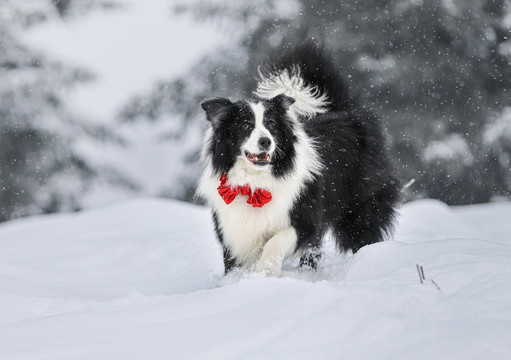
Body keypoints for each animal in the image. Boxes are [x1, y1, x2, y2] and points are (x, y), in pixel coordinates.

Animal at [198, 41, 402, 276]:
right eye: (245, 126)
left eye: (271, 125)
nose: (266, 141)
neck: (255, 183)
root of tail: (346, 111)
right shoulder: (232, 230)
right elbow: (233, 261)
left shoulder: (304, 217)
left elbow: (275, 242)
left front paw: (266, 272)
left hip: (360, 207)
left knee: (363, 233)